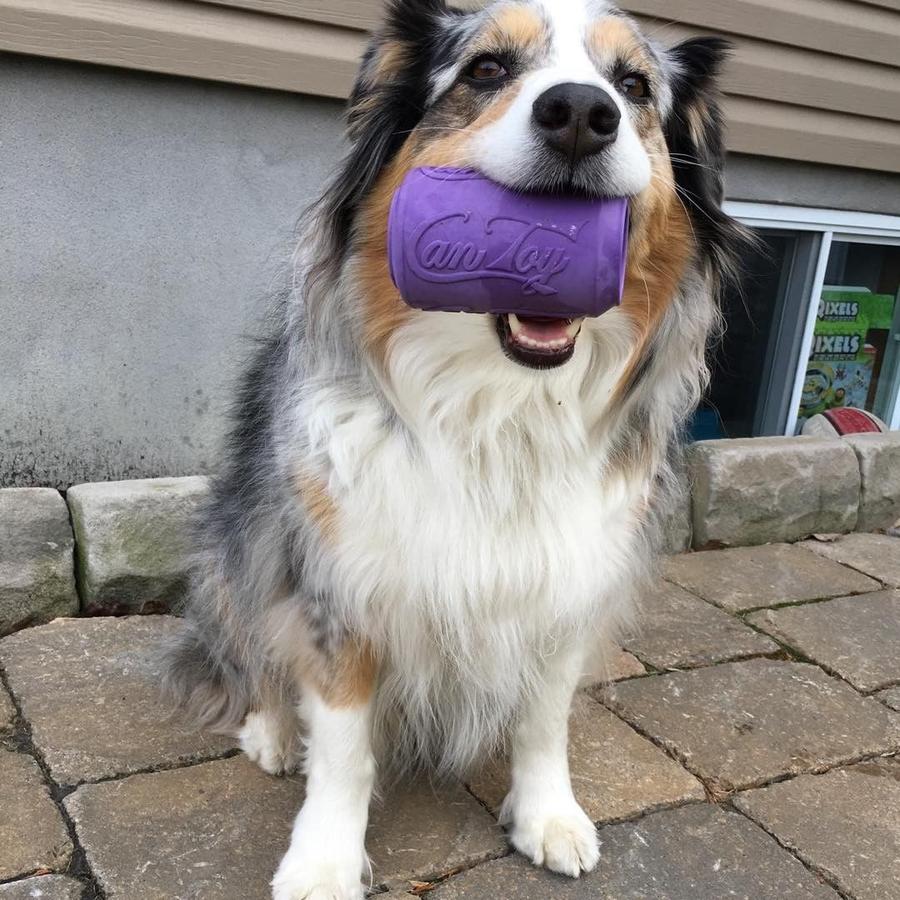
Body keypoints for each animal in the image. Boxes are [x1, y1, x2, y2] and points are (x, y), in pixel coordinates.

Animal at [165, 3, 740, 896]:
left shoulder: (567, 583)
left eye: (635, 86)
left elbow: (544, 719)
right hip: (240, 543)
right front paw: (324, 862)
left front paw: (547, 815)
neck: (500, 412)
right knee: (257, 646)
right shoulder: (341, 586)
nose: (582, 113)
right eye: (486, 69)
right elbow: (343, 747)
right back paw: (272, 732)